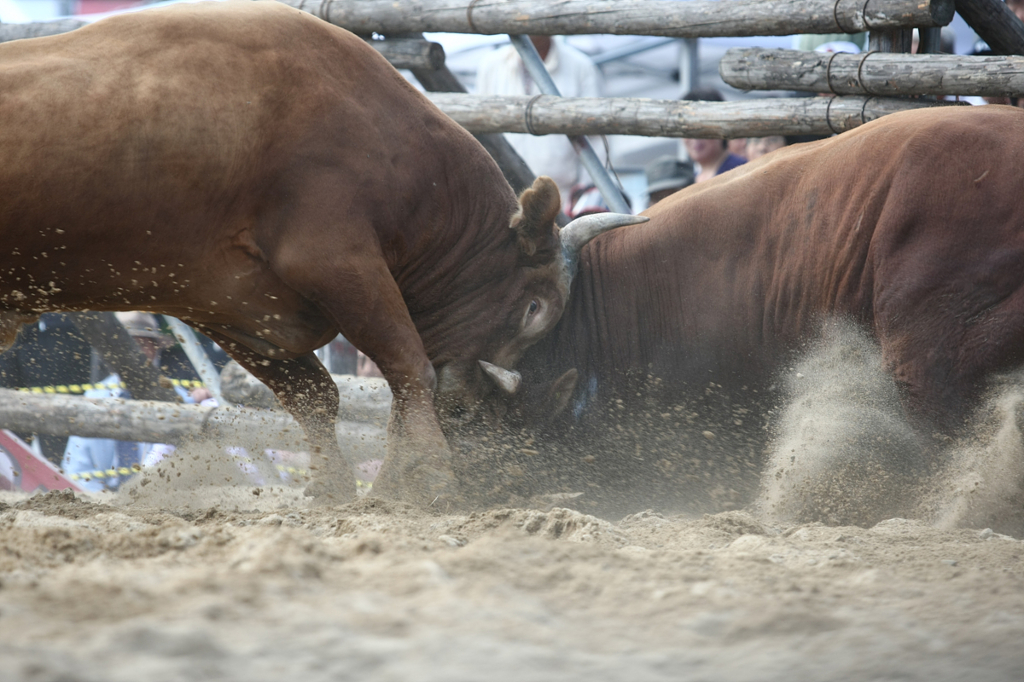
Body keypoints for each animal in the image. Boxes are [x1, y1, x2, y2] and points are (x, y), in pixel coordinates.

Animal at [0, 0, 638, 499]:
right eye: (534, 308)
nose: (497, 412)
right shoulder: (334, 258)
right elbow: (408, 370)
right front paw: (429, 482)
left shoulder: (227, 303)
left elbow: (318, 395)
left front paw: (344, 490)